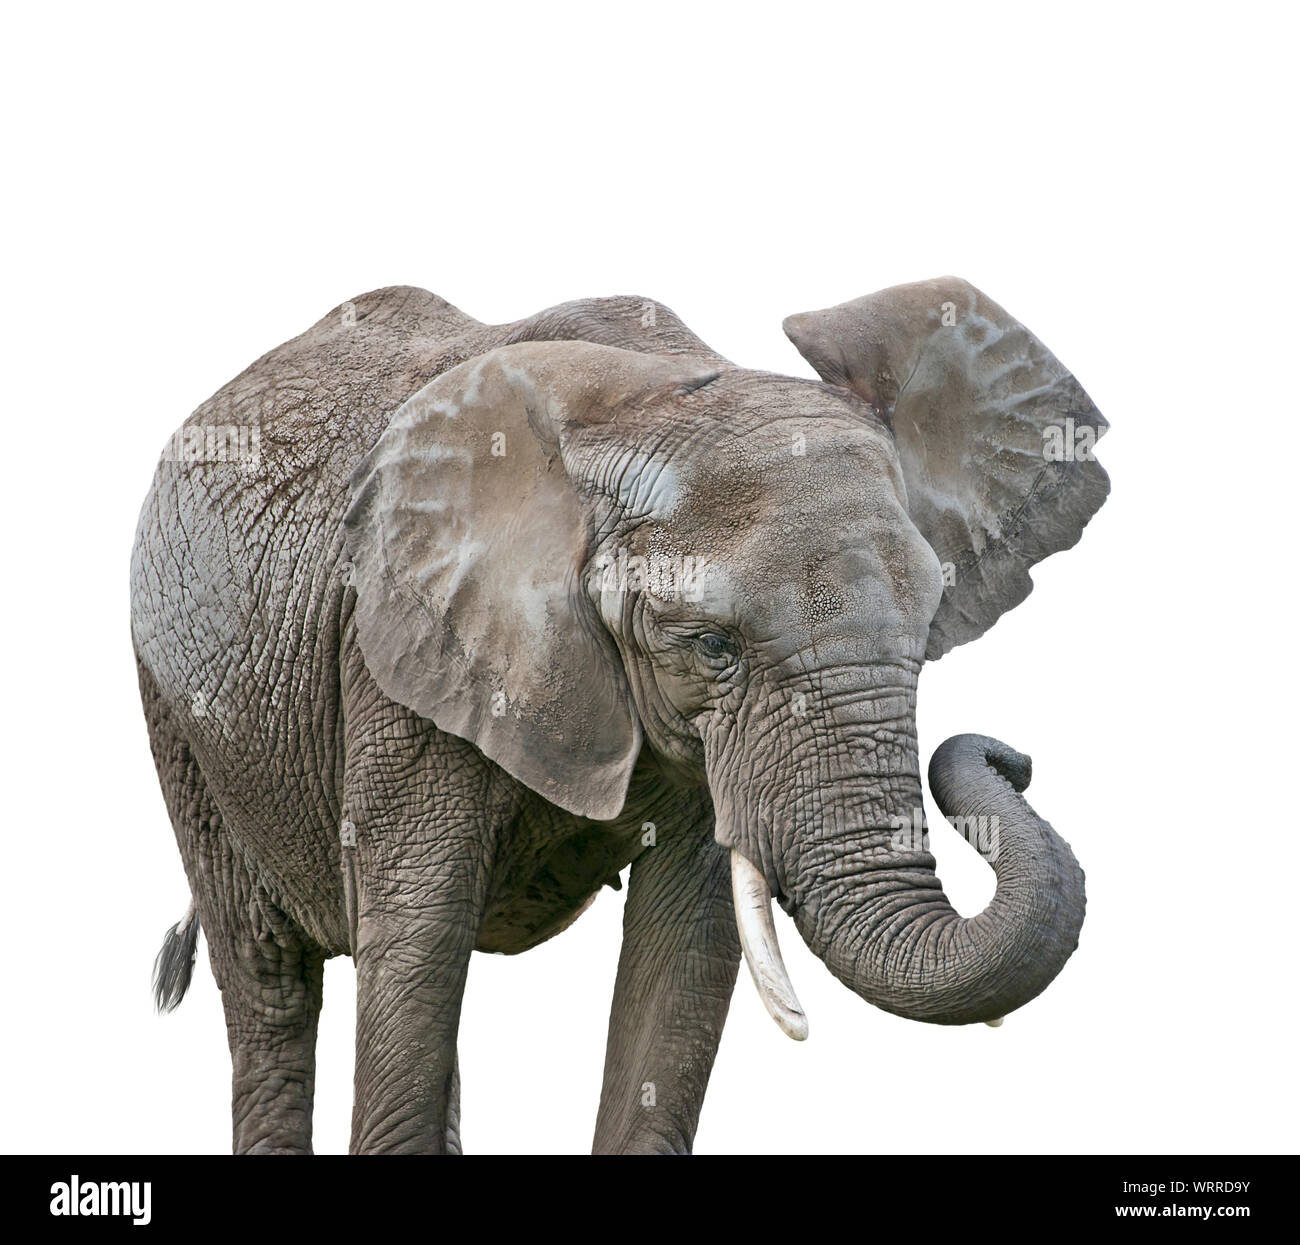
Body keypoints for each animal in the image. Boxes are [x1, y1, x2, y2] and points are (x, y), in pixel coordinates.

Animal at [130, 277, 1109, 1154]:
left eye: (931, 620)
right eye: (713, 644)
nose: (1010, 757)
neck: (646, 394)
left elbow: (684, 946)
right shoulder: (397, 650)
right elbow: (418, 927)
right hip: (175, 715)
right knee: (273, 981)